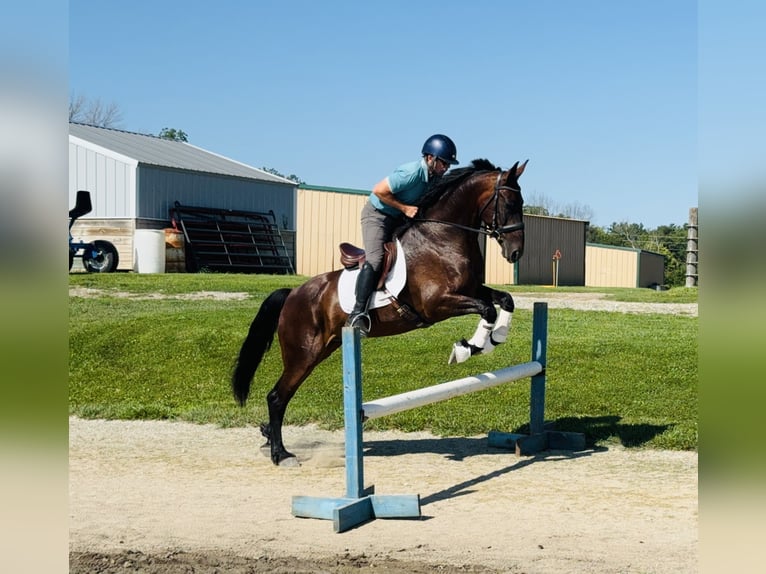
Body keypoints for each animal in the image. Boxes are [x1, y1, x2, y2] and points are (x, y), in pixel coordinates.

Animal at [231, 159, 528, 468]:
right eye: (509, 203)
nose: (516, 252)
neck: (442, 237)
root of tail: (292, 293)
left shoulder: (473, 289)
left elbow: (504, 301)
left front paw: (495, 339)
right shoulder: (436, 304)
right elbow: (487, 309)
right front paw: (467, 349)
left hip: (323, 349)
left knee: (282, 395)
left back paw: (269, 438)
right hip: (303, 353)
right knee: (277, 397)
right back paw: (281, 454)